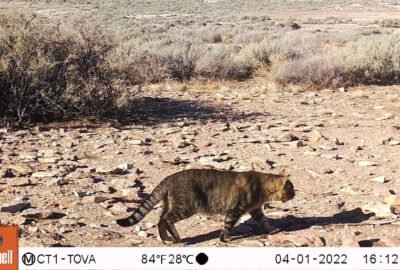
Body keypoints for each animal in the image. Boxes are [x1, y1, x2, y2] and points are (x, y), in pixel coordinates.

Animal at [115, 169, 294, 243]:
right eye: (291, 189)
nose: (295, 195)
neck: (261, 186)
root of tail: (169, 178)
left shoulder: (256, 210)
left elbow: (264, 221)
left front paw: (272, 230)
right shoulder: (235, 210)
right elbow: (227, 226)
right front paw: (224, 239)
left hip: (170, 204)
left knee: (160, 220)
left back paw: (167, 238)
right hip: (187, 206)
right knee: (166, 219)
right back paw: (173, 238)